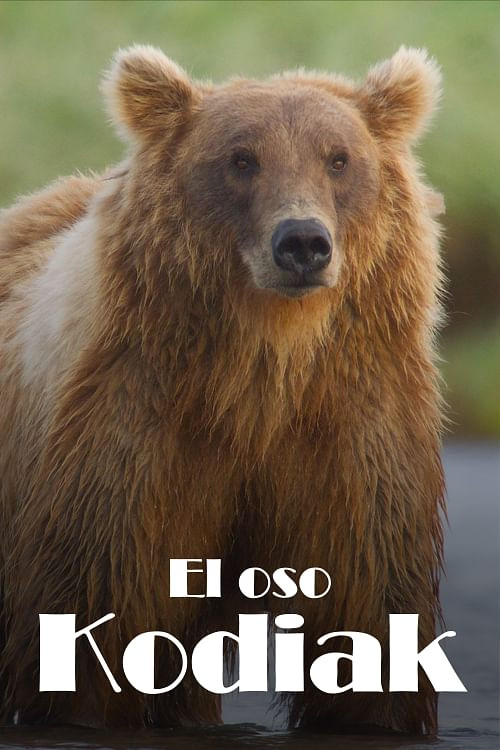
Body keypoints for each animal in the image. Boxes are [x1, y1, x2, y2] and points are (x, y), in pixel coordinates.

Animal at [0, 45, 446, 734]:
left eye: (338, 157)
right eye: (241, 158)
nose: (302, 243)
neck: (261, 370)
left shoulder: (354, 423)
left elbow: (369, 612)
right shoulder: (130, 424)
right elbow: (90, 614)